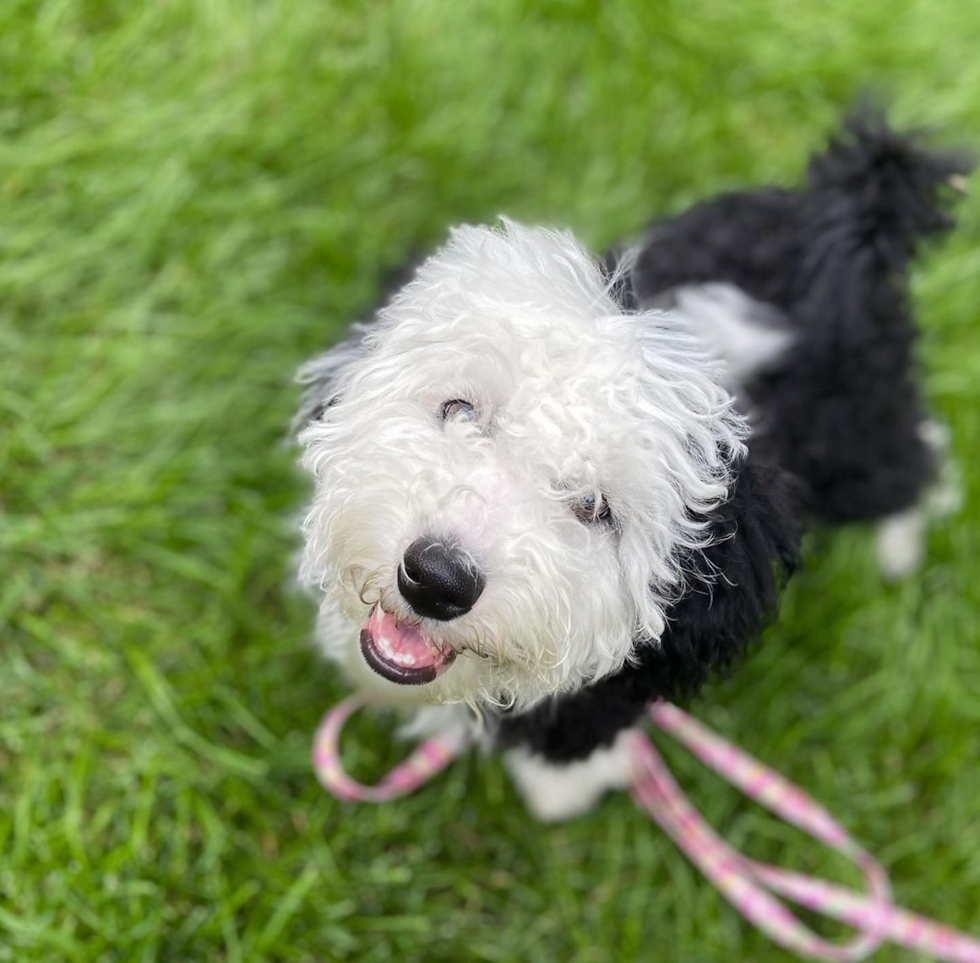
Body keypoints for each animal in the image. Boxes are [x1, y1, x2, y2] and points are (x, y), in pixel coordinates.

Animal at [294, 111, 968, 820]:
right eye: (459, 410)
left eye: (597, 508)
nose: (435, 578)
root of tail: (849, 205)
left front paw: (568, 785)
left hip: (859, 431)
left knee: (911, 461)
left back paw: (900, 547)